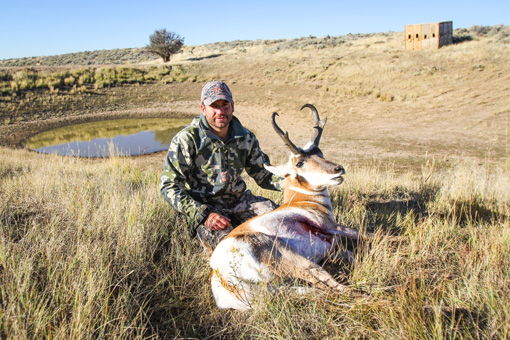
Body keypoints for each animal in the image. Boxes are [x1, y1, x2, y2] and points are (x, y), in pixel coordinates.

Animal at [209, 104, 364, 310]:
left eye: (320, 154)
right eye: (300, 162)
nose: (338, 169)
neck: (300, 200)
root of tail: (220, 273)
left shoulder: (332, 249)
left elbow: (350, 253)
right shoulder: (331, 226)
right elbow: (369, 235)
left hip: (285, 286)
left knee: (323, 290)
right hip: (298, 262)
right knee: (336, 287)